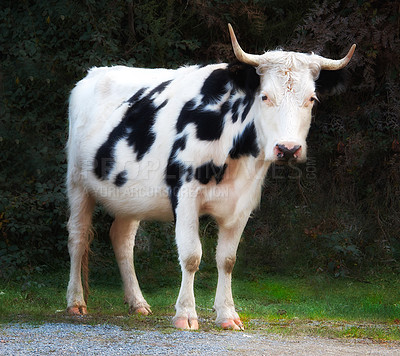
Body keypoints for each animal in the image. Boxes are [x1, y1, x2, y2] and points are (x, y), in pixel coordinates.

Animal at [66, 24, 356, 330]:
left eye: (311, 99)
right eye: (265, 96)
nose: (288, 149)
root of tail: (94, 73)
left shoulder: (243, 202)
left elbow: (227, 259)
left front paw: (227, 314)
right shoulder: (185, 195)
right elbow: (191, 255)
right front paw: (185, 314)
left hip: (131, 197)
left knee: (122, 239)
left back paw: (137, 303)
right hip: (77, 182)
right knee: (78, 237)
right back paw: (75, 302)